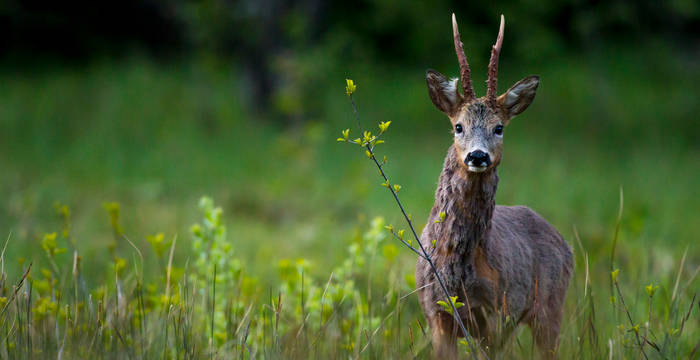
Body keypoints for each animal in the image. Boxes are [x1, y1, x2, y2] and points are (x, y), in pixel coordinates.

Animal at [416, 13, 576, 358]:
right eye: (458, 126)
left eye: (499, 127)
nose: (478, 155)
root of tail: (564, 242)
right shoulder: (436, 311)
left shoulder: (496, 311)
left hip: (550, 304)